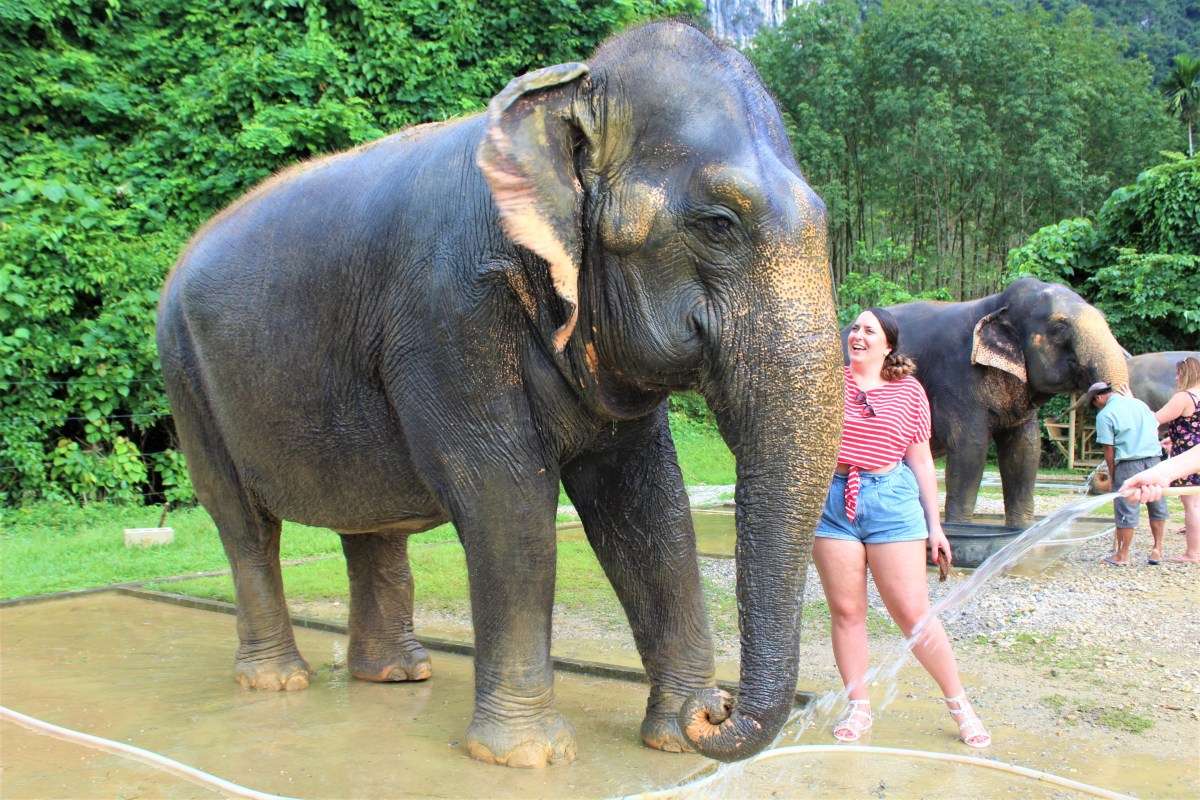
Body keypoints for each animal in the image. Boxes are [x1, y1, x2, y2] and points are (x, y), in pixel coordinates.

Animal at [156, 22, 843, 768]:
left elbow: (648, 505)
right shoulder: (450, 315)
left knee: (367, 521)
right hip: (186, 374)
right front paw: (526, 756)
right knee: (244, 524)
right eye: (719, 222)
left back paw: (397, 675)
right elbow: (505, 497)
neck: (570, 91)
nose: (719, 712)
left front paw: (674, 736)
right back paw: (279, 681)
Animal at [843, 278, 1128, 528]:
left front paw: (1020, 531)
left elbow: (1025, 449)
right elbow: (971, 448)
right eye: (1059, 327)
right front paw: (961, 530)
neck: (996, 305)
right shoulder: (958, 380)